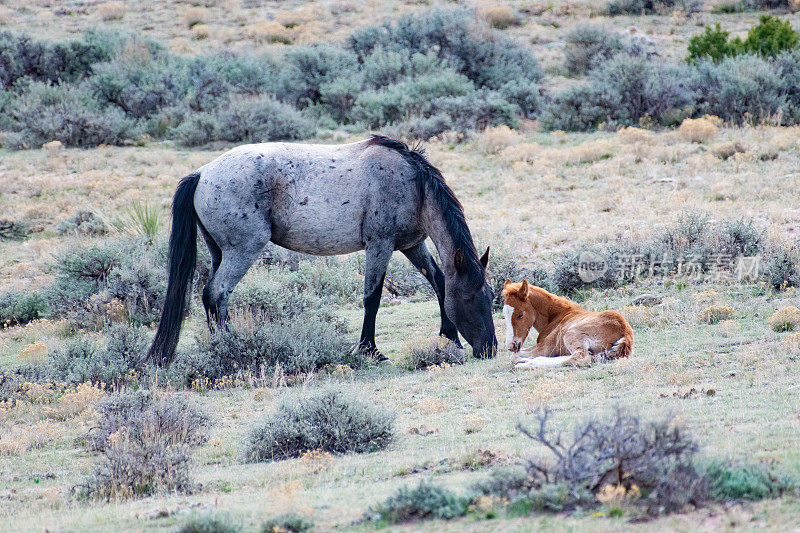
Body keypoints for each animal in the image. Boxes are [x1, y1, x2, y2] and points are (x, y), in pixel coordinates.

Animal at [144, 135, 494, 364]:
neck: (412, 184)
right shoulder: (379, 245)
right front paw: (370, 350)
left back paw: (217, 346)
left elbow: (438, 282)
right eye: (468, 298)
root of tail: (202, 173)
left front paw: (450, 337)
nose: (490, 349)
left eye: (491, 296)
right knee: (217, 293)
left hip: (219, 252)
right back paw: (230, 348)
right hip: (243, 250)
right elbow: (372, 297)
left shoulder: (412, 245)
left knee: (210, 296)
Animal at [504, 278, 636, 370]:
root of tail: (625, 335)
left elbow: (514, 357)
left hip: (571, 333)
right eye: (504, 314)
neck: (557, 316)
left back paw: (526, 363)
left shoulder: (546, 347)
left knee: (580, 358)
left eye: (520, 314)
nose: (511, 346)